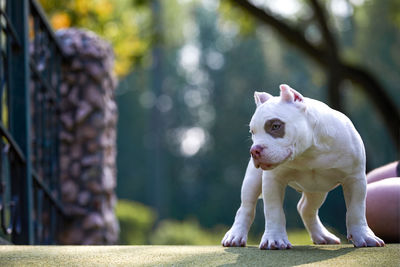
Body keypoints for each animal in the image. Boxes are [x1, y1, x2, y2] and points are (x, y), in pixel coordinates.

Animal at [222, 85, 384, 250]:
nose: (254, 150)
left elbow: (356, 210)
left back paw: (322, 235)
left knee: (305, 208)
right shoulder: (273, 180)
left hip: (317, 190)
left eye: (275, 126)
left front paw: (364, 236)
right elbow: (274, 211)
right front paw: (275, 239)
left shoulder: (355, 179)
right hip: (253, 181)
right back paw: (235, 236)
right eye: (252, 132)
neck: (309, 151)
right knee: (246, 207)